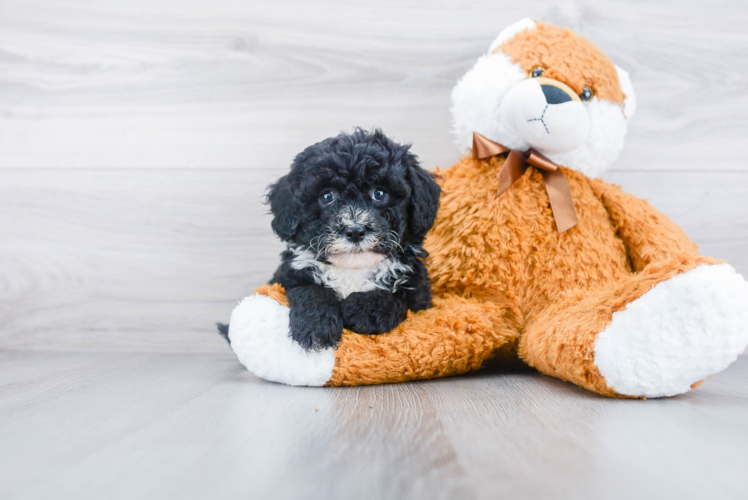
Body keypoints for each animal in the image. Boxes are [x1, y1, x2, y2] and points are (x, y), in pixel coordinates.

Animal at [262, 127, 438, 350]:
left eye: (380, 193)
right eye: (327, 197)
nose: (355, 231)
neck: (352, 269)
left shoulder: (418, 292)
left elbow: (396, 298)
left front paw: (364, 310)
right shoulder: (288, 277)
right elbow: (310, 290)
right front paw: (315, 327)